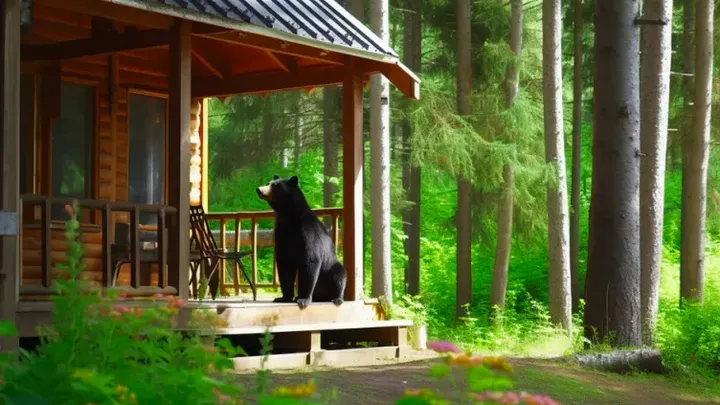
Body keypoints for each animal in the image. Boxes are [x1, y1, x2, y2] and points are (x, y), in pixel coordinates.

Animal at [256, 175, 346, 309]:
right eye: (268, 183)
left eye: (275, 185)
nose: (259, 189)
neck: (289, 217)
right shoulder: (282, 234)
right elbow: (284, 264)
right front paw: (284, 298)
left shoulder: (308, 231)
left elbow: (310, 260)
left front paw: (304, 299)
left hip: (331, 268)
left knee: (339, 275)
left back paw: (337, 298)